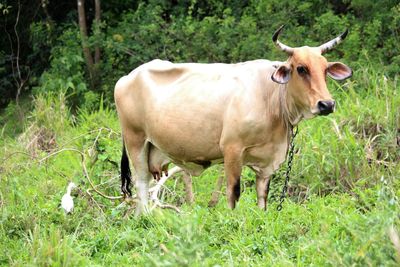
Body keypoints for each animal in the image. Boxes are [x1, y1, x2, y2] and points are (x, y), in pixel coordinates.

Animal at [114, 26, 352, 216]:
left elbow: (262, 196)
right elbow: (233, 193)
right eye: (301, 68)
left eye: (325, 69)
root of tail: (126, 77)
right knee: (141, 183)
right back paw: (145, 218)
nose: (326, 104)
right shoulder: (232, 149)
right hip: (135, 140)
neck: (270, 96)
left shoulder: (268, 161)